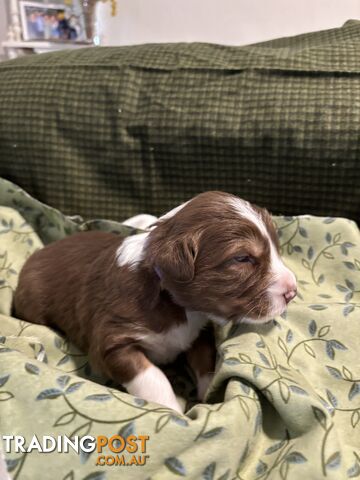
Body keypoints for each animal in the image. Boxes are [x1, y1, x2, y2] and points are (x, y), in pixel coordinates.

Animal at [13, 191, 296, 412]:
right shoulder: (111, 341)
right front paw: (172, 410)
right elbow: (152, 376)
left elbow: (206, 361)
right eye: (242, 258)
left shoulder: (199, 332)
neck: (176, 304)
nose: (292, 291)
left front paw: (207, 394)